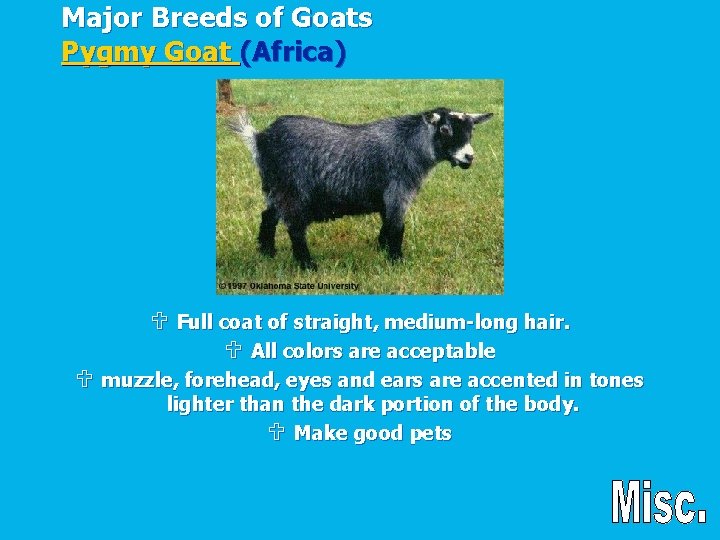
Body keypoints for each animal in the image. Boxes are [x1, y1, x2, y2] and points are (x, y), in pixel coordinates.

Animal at [229, 108, 493, 270]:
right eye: (446, 130)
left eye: (472, 130)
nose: (469, 157)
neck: (410, 145)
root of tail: (260, 138)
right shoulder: (398, 192)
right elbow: (397, 227)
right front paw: (396, 260)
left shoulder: (386, 197)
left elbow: (387, 224)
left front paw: (381, 248)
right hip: (292, 191)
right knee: (295, 228)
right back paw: (308, 266)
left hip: (275, 188)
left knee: (268, 217)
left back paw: (267, 252)